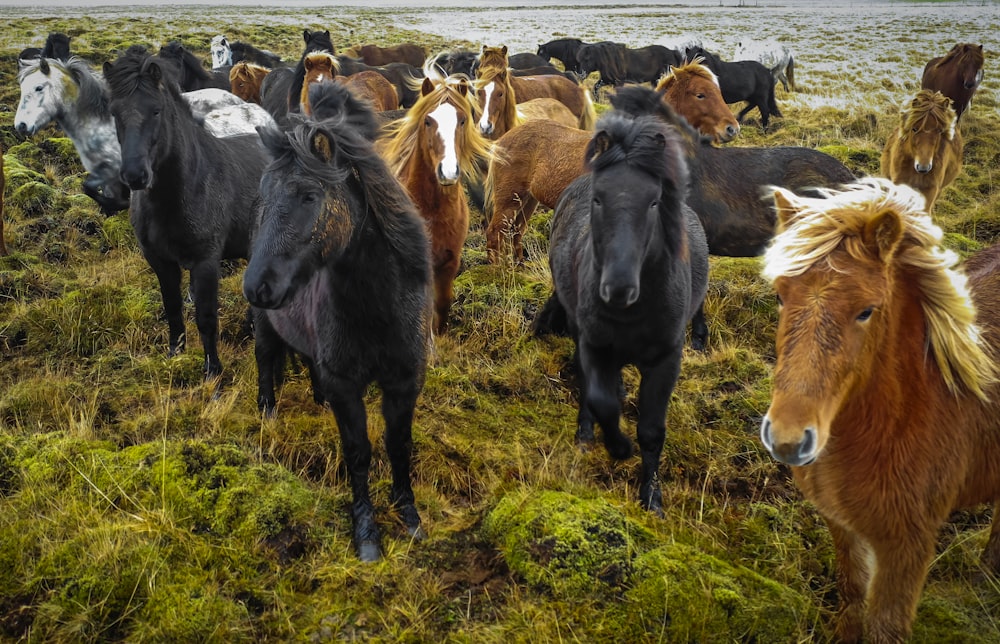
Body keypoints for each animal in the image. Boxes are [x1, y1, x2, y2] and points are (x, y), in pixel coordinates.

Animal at [245, 82, 434, 564]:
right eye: (264, 194)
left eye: (309, 196)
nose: (256, 286)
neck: (379, 307)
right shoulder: (347, 387)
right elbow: (359, 453)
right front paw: (366, 532)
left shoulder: (404, 380)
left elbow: (399, 445)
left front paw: (408, 515)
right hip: (266, 330)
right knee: (265, 363)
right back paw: (268, 414)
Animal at [544, 109, 708, 512]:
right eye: (598, 199)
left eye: (654, 202)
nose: (618, 288)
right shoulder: (594, 346)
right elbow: (601, 401)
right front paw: (616, 446)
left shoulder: (666, 360)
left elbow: (651, 431)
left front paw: (651, 496)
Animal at [756, 176, 1000, 644]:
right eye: (779, 296)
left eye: (866, 311)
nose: (789, 439)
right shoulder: (843, 524)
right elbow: (852, 596)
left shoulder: (907, 546)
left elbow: (886, 626)